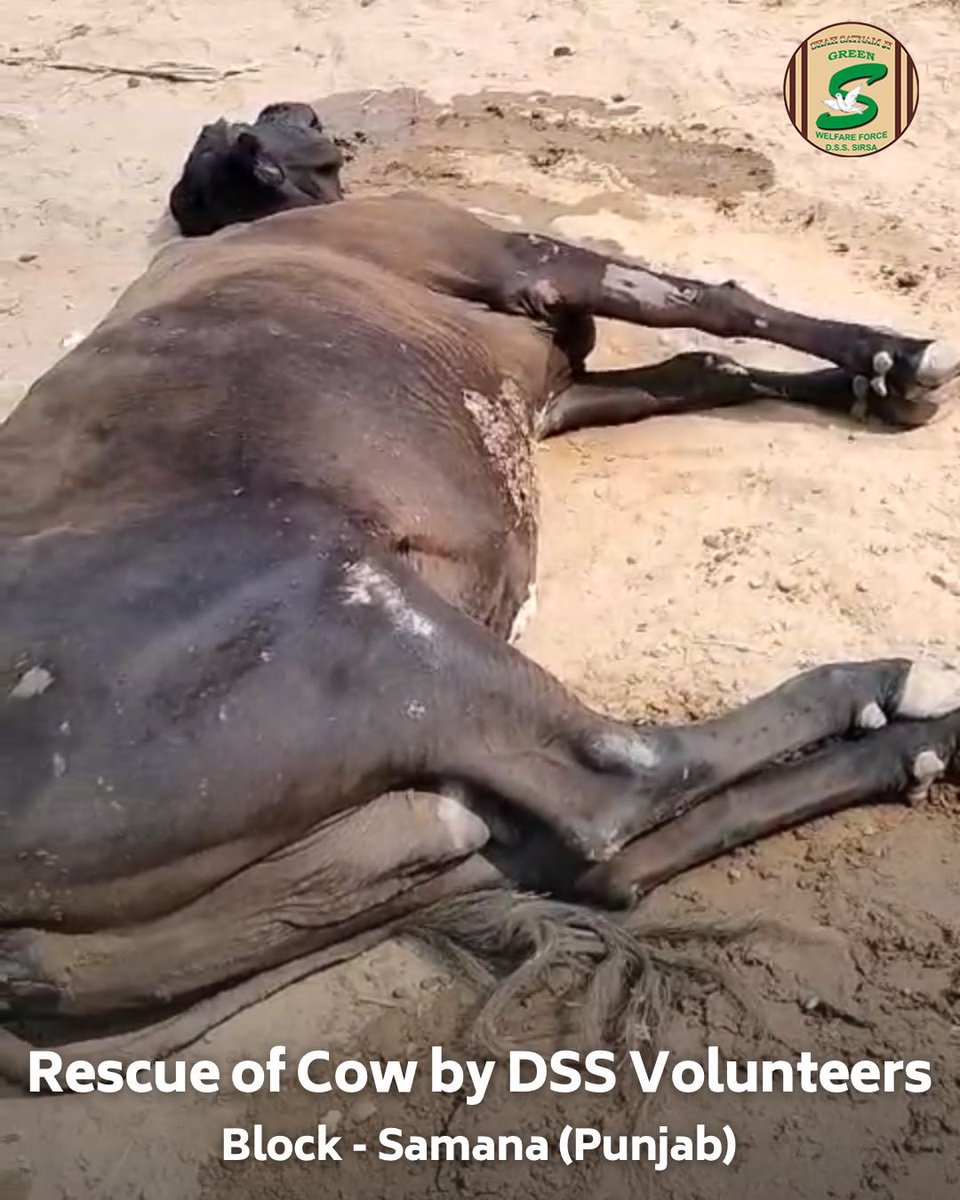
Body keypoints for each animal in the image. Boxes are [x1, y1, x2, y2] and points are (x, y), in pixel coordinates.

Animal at [2, 100, 960, 1088]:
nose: (293, 111)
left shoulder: (554, 393)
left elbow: (701, 368)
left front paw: (869, 387)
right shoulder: (520, 256)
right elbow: (713, 305)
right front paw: (902, 357)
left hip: (352, 855)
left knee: (583, 861)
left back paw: (910, 752)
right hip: (341, 597)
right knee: (623, 775)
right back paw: (906, 696)